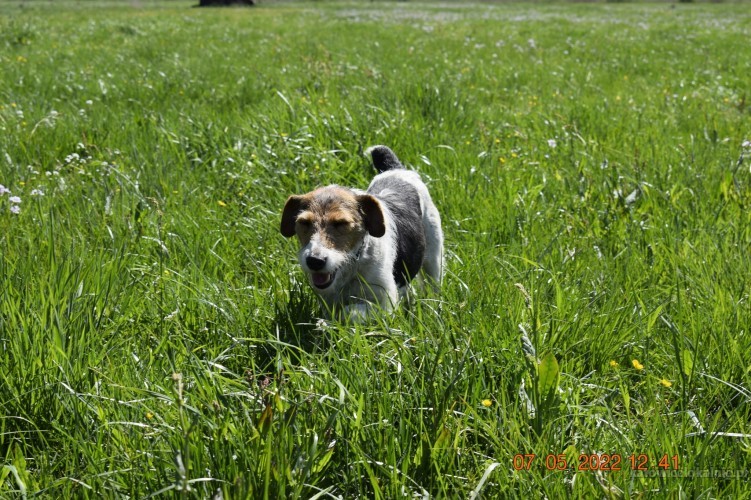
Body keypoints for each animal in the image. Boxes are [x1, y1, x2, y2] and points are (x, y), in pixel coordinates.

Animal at [280, 146, 443, 321]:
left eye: (342, 223)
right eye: (304, 222)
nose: (314, 261)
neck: (354, 263)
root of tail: (396, 169)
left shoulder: (384, 304)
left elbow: (349, 311)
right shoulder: (328, 303)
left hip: (434, 261)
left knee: (432, 288)